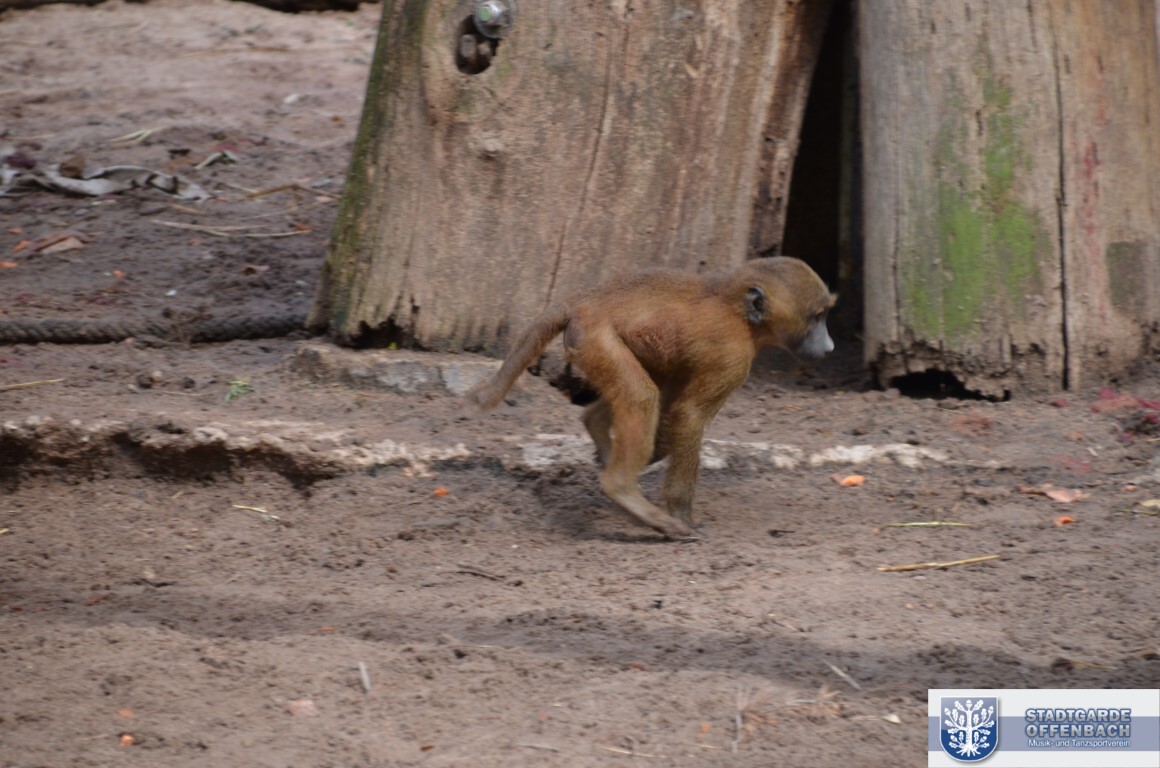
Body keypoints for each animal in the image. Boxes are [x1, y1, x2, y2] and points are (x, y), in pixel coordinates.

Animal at [466, 256, 836, 539]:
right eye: (817, 317)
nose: (830, 347)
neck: (738, 312)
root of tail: (584, 299)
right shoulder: (732, 356)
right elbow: (689, 414)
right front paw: (683, 515)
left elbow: (675, 409)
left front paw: (654, 458)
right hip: (594, 338)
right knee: (641, 396)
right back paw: (622, 488)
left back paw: (600, 433)